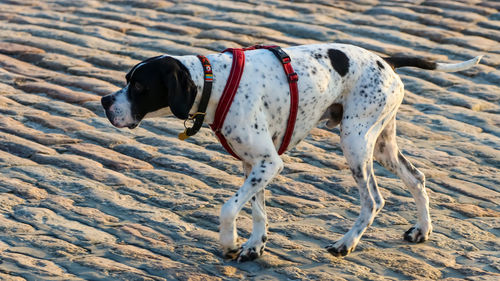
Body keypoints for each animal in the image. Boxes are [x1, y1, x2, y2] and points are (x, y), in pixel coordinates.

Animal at [100, 43, 480, 260]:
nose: (104, 101)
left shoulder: (269, 164)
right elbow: (257, 210)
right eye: (127, 79)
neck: (216, 83)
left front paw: (229, 241)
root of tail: (385, 60)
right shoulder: (254, 164)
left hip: (355, 143)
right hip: (383, 144)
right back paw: (423, 230)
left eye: (138, 86)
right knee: (417, 178)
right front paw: (254, 245)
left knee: (374, 199)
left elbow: (228, 208)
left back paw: (346, 243)